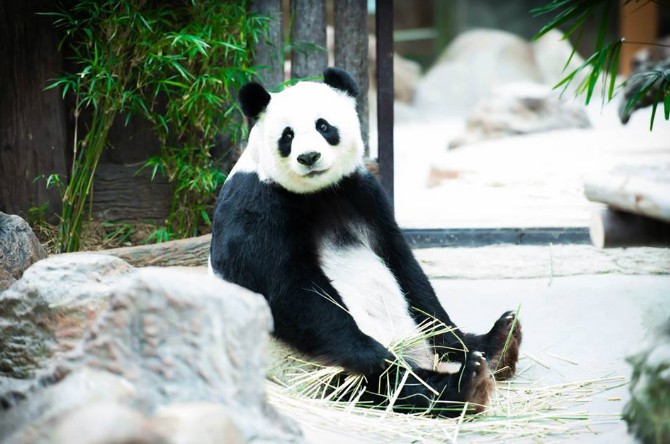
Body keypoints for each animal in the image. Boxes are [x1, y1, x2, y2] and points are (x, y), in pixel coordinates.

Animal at [210, 67, 524, 416]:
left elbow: (404, 267)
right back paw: (462, 386)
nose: (309, 157)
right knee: (388, 387)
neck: (317, 192)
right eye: (287, 136)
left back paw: (498, 341)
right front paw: (374, 355)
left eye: (323, 126)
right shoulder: (256, 203)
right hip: (310, 370)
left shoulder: (362, 194)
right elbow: (287, 289)